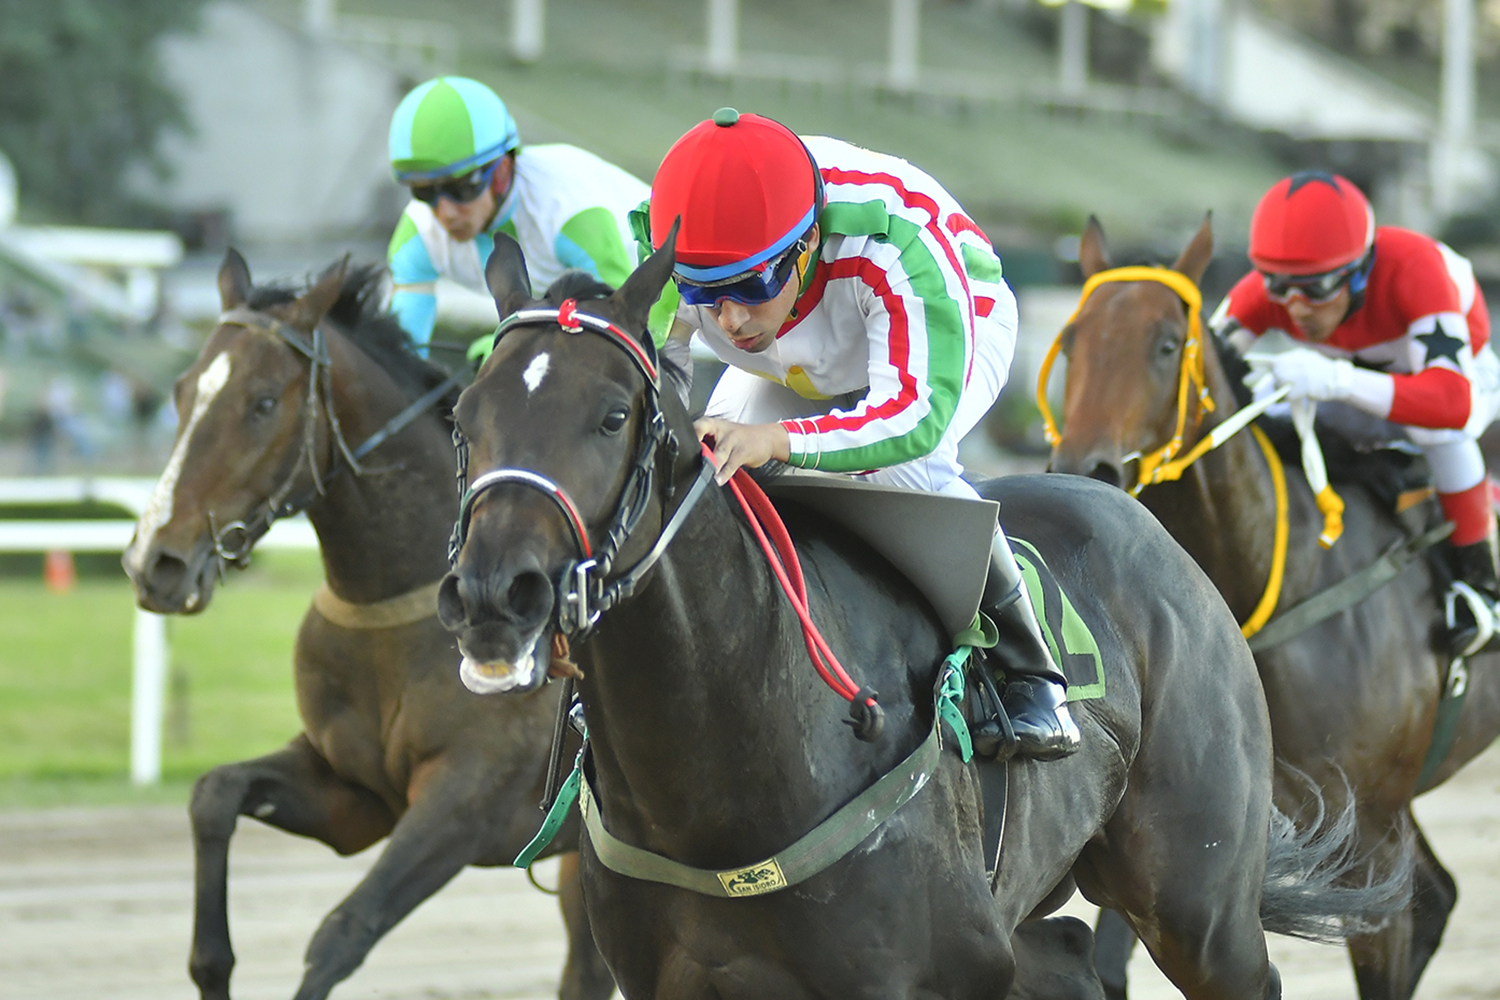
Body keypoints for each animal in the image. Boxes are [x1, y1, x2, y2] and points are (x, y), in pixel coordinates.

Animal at [122, 251, 613, 1000]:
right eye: (180, 395)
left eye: (262, 403)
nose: (156, 562)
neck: (394, 615)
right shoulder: (353, 794)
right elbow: (213, 794)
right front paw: (213, 961)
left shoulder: (470, 808)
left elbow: (342, 932)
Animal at [437, 231, 1404, 1000]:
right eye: (463, 417)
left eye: (610, 417)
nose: (494, 593)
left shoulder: (917, 973)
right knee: (1069, 956)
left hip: (1200, 908)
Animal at [1046, 216, 1500, 1000]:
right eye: (1072, 341)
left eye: (1166, 344)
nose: (1085, 467)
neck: (1271, 583)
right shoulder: (1180, 831)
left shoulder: (1374, 840)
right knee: (1440, 896)